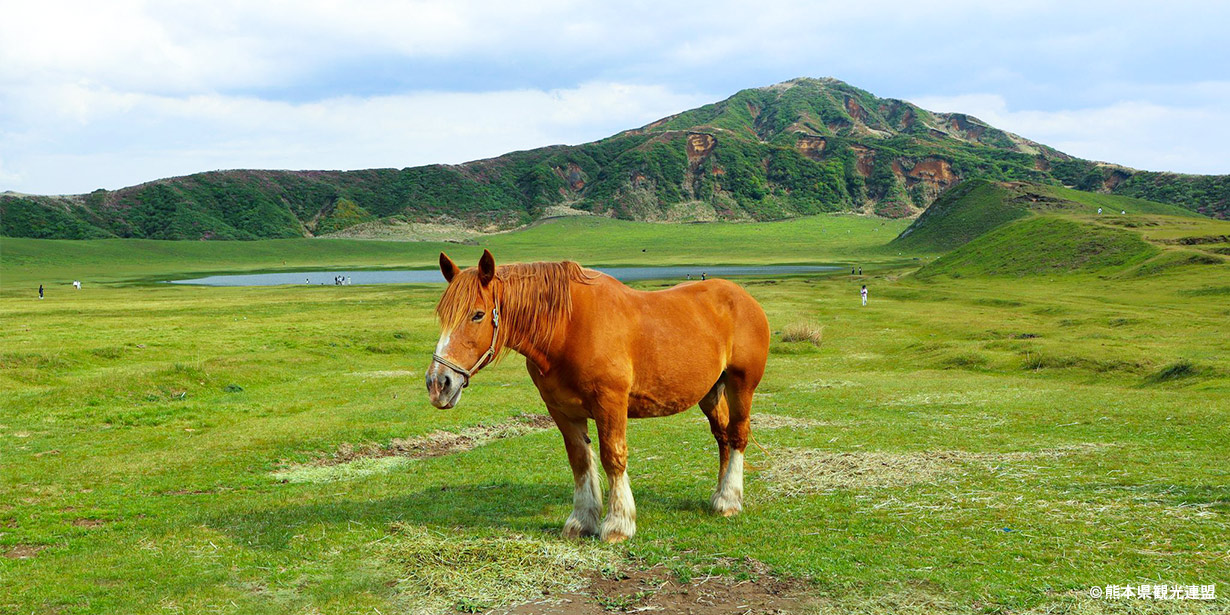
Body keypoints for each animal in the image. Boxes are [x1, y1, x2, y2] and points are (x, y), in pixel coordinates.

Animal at [425, 249, 767, 543]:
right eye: (443, 315)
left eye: (478, 315)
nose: (438, 383)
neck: (567, 328)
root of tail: (744, 298)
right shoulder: (562, 410)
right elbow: (580, 461)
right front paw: (581, 521)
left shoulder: (610, 403)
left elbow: (613, 457)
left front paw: (618, 524)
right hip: (710, 393)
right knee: (722, 437)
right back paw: (720, 496)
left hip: (741, 386)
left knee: (737, 436)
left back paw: (729, 501)